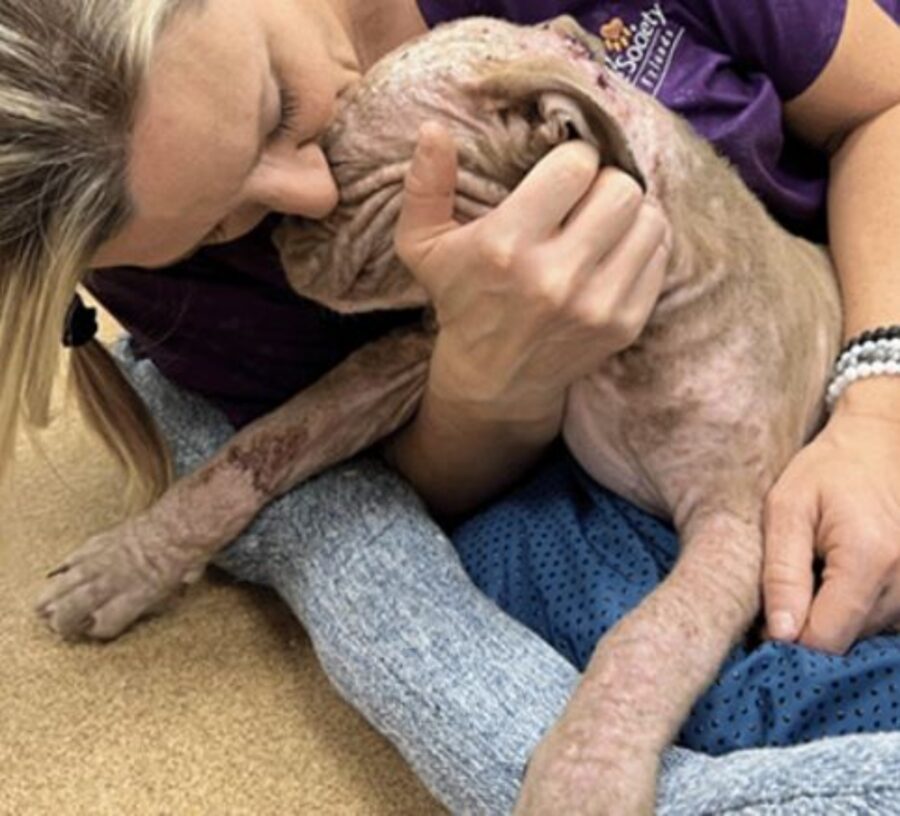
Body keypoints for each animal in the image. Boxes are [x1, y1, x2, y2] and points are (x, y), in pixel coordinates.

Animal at [37, 15, 844, 812]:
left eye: (333, 157)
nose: (274, 232)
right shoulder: (425, 354)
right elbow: (262, 443)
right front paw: (126, 563)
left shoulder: (734, 528)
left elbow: (649, 639)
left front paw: (580, 783)